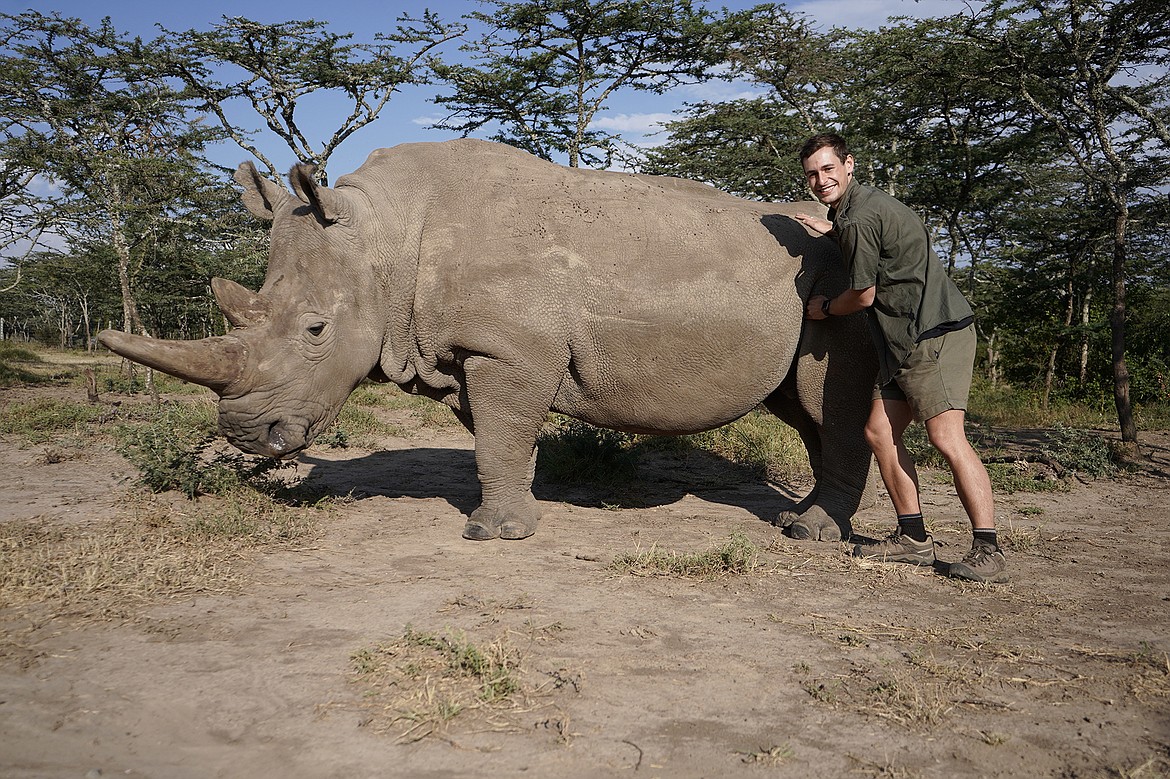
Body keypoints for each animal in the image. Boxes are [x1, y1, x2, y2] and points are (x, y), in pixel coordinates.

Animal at [100, 138, 875, 540]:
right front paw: (519, 512)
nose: (243, 434)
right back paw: (808, 518)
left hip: (841, 276)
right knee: (800, 410)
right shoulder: (478, 349)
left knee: (825, 401)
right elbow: (500, 436)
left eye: (317, 330)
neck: (384, 237)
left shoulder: (510, 348)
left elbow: (499, 435)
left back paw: (811, 533)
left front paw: (494, 533)